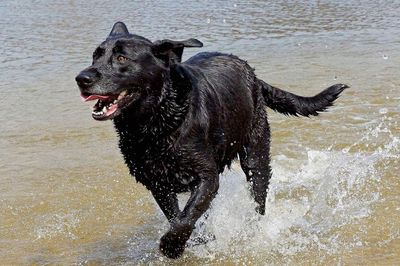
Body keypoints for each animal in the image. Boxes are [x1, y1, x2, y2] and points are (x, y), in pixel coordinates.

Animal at [75, 21, 346, 258]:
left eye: (121, 58)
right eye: (95, 56)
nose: (82, 78)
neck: (156, 121)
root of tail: (252, 74)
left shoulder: (207, 177)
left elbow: (187, 215)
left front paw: (172, 246)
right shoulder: (158, 183)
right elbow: (179, 215)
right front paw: (195, 240)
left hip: (255, 155)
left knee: (258, 198)